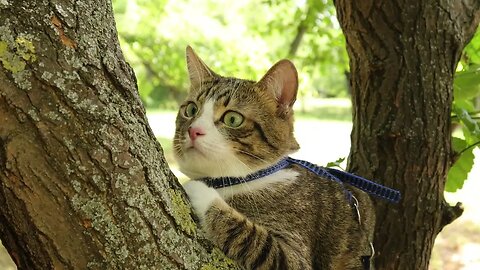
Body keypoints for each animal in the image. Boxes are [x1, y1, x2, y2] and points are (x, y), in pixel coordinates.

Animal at [174, 46, 376, 268]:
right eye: (191, 109)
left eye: (233, 119)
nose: (194, 130)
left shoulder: (296, 251)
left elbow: (251, 237)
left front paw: (199, 189)